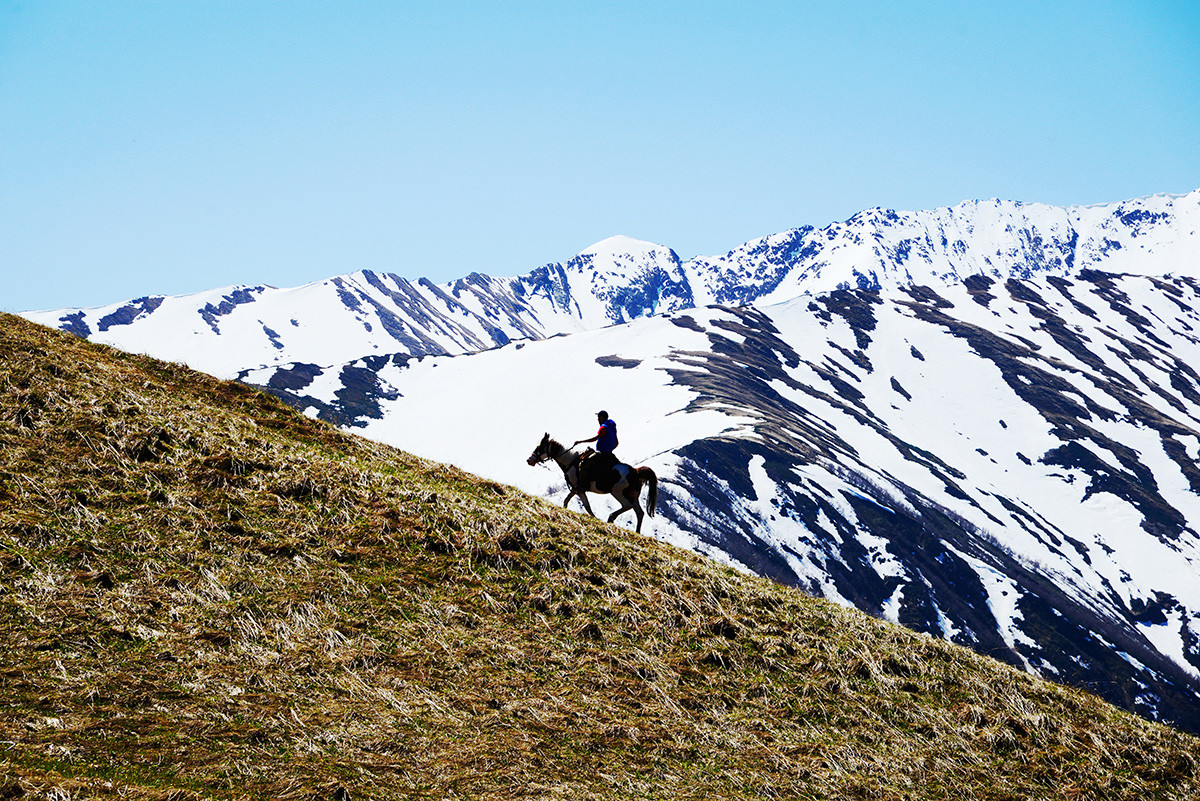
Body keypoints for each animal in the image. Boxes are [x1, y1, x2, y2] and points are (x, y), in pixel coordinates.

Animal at [525, 431, 657, 532]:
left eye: (539, 448)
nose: (529, 460)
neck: (571, 462)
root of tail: (635, 471)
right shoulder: (577, 489)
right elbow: (572, 502)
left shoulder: (578, 489)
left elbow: (583, 505)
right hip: (633, 496)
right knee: (639, 513)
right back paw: (637, 531)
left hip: (617, 492)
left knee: (627, 506)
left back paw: (611, 517)